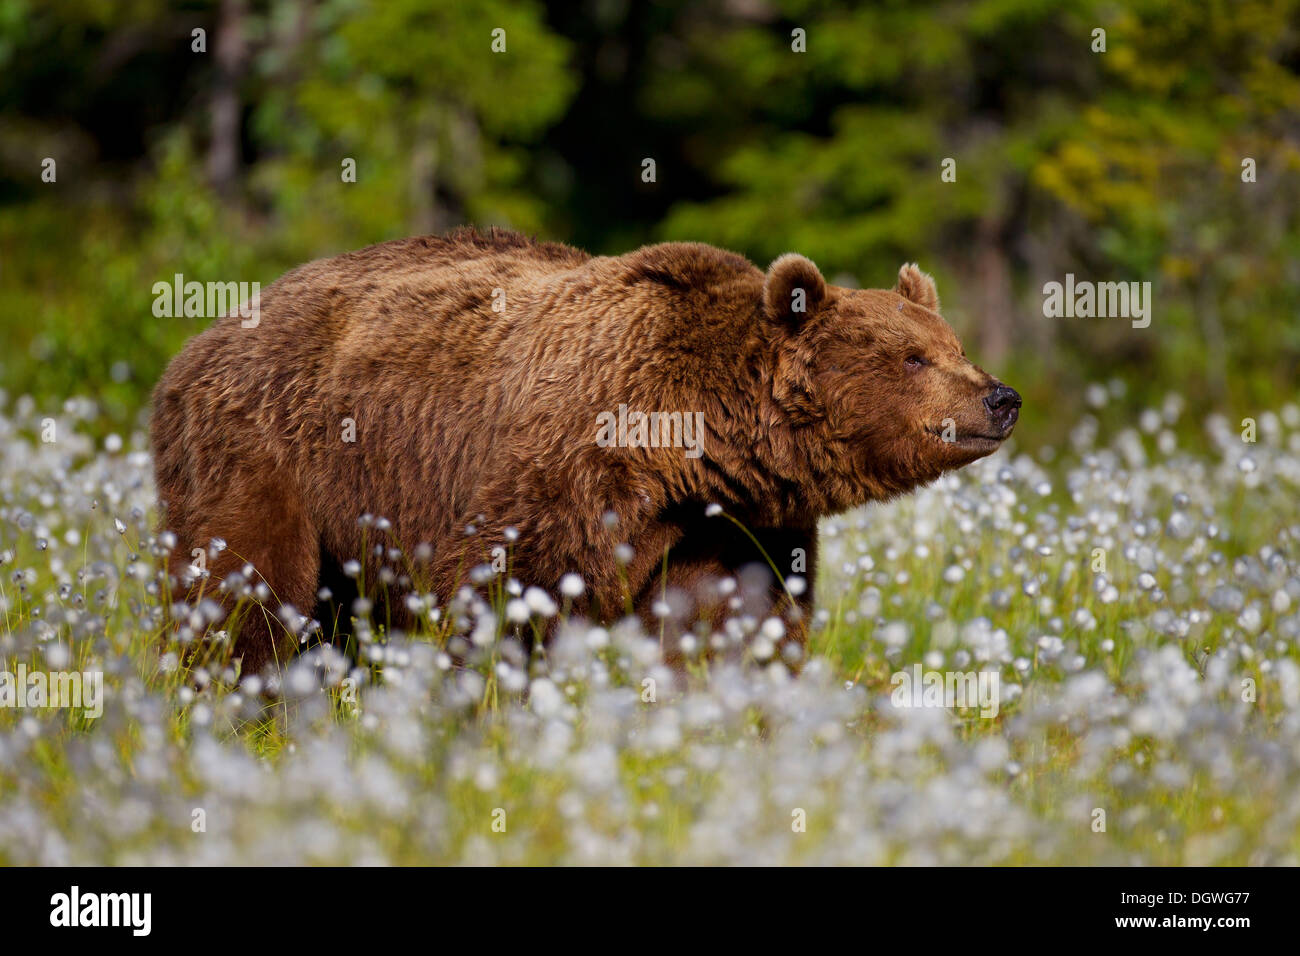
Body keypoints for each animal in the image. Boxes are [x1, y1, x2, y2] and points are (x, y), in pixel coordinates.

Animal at [152, 226, 1019, 671]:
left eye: (954, 344)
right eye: (912, 358)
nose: (1000, 398)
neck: (692, 443)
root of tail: (199, 340)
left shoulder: (733, 528)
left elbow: (734, 620)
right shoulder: (569, 464)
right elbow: (509, 588)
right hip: (267, 452)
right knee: (249, 588)